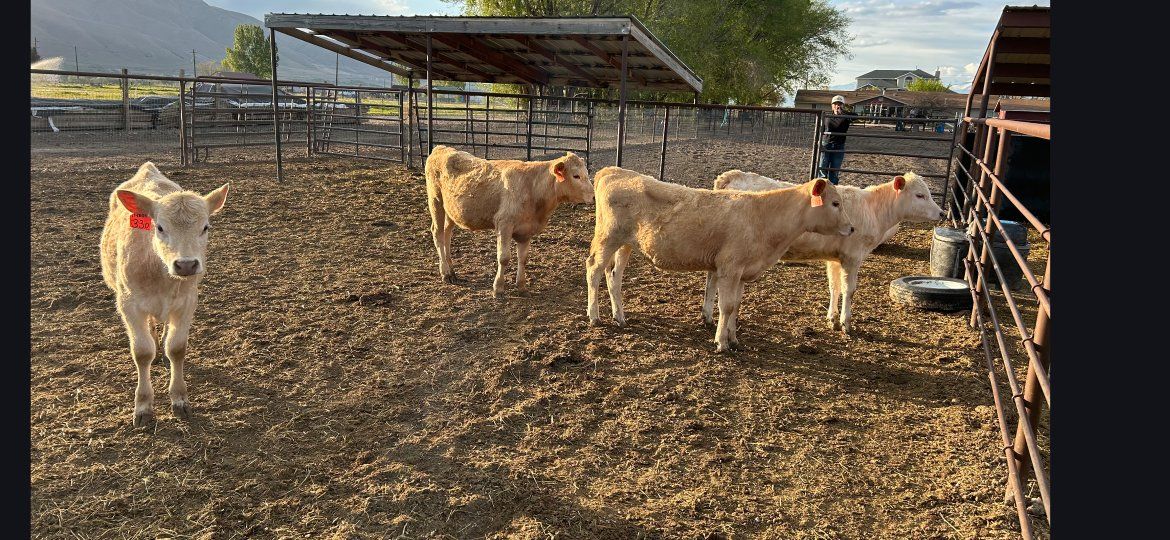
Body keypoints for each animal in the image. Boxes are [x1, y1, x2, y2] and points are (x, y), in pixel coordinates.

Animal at [99, 162, 229, 427]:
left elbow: (177, 348)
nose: (186, 264)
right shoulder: (128, 304)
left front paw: (179, 399)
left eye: (205, 227)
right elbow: (142, 352)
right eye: (159, 227)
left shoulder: (187, 302)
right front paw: (143, 406)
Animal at [425, 145, 593, 297]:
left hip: (451, 211)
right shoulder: (504, 224)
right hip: (436, 201)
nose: (593, 196)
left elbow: (523, 258)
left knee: (447, 233)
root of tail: (440, 149)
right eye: (576, 176)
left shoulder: (526, 230)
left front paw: (521, 286)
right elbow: (504, 258)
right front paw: (498, 288)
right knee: (438, 234)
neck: (532, 187)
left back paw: (452, 270)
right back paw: (446, 273)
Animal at [585, 166, 854, 353]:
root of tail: (613, 171)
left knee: (614, 276)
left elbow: (736, 305)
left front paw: (733, 339)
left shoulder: (744, 272)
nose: (851, 228)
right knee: (594, 270)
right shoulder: (729, 268)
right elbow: (726, 306)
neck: (761, 216)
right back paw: (594, 316)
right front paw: (721, 342)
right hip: (607, 238)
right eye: (835, 203)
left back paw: (619, 317)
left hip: (625, 244)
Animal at [707, 170, 945, 334]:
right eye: (920, 195)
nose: (942, 213)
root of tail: (731, 176)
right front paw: (846, 323)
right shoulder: (852, 257)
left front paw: (832, 319)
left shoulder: (835, 259)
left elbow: (834, 287)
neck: (872, 209)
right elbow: (849, 290)